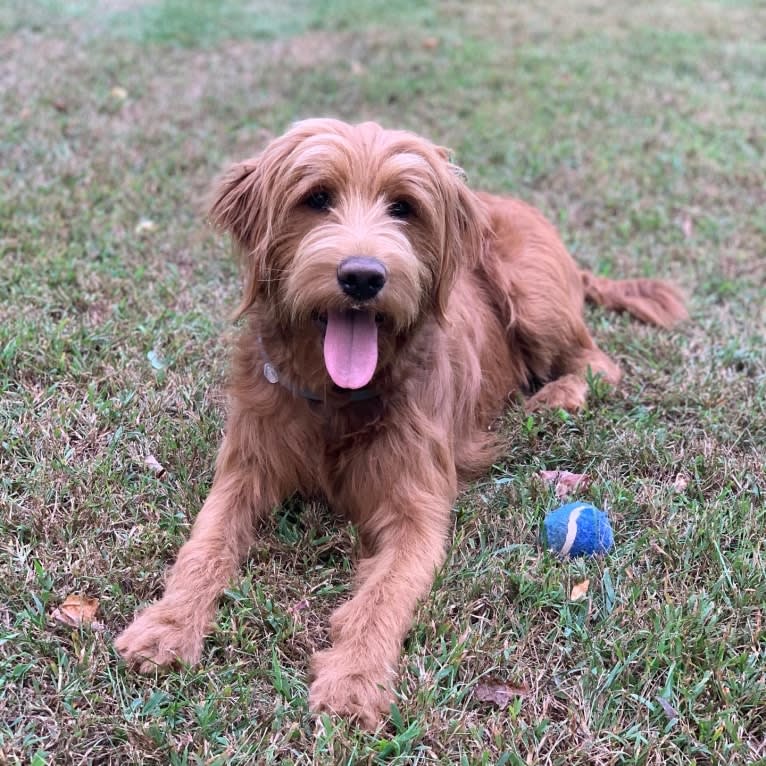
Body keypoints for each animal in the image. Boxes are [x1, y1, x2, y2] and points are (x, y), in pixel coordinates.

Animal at [115, 117, 688, 728]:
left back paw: (558, 397)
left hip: (532, 294)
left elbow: (384, 593)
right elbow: (205, 546)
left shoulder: (418, 509)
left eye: (404, 207)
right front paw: (166, 626)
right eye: (316, 198)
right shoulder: (245, 468)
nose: (363, 277)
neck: (336, 397)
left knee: (598, 359)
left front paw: (354, 678)